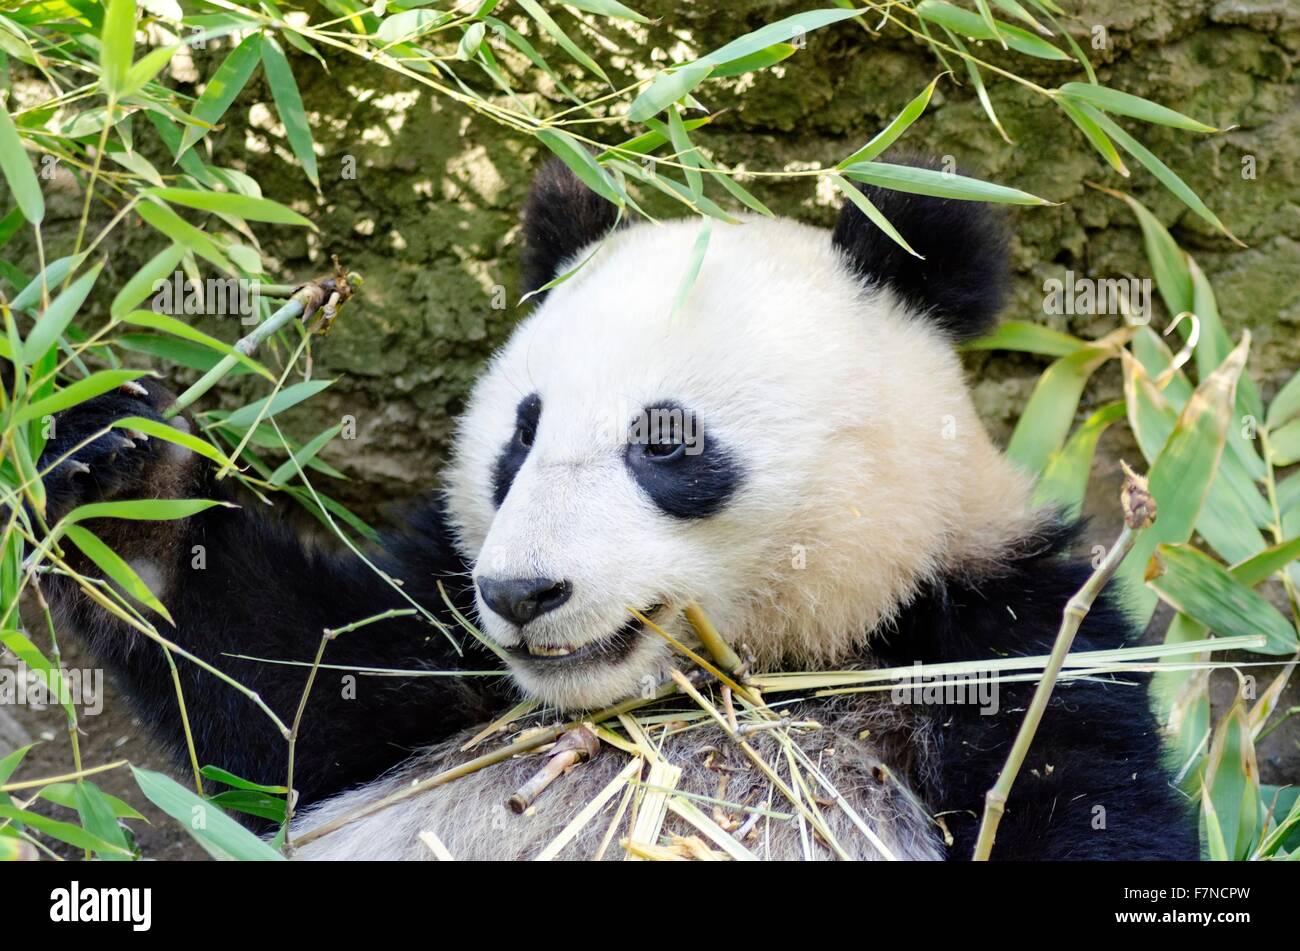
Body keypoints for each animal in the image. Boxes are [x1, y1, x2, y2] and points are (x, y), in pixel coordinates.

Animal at [37, 159, 1197, 861]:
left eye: (665, 442)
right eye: (519, 436)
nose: (521, 592)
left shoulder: (995, 635)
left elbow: (1084, 803)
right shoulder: (441, 630)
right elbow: (295, 698)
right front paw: (127, 478)